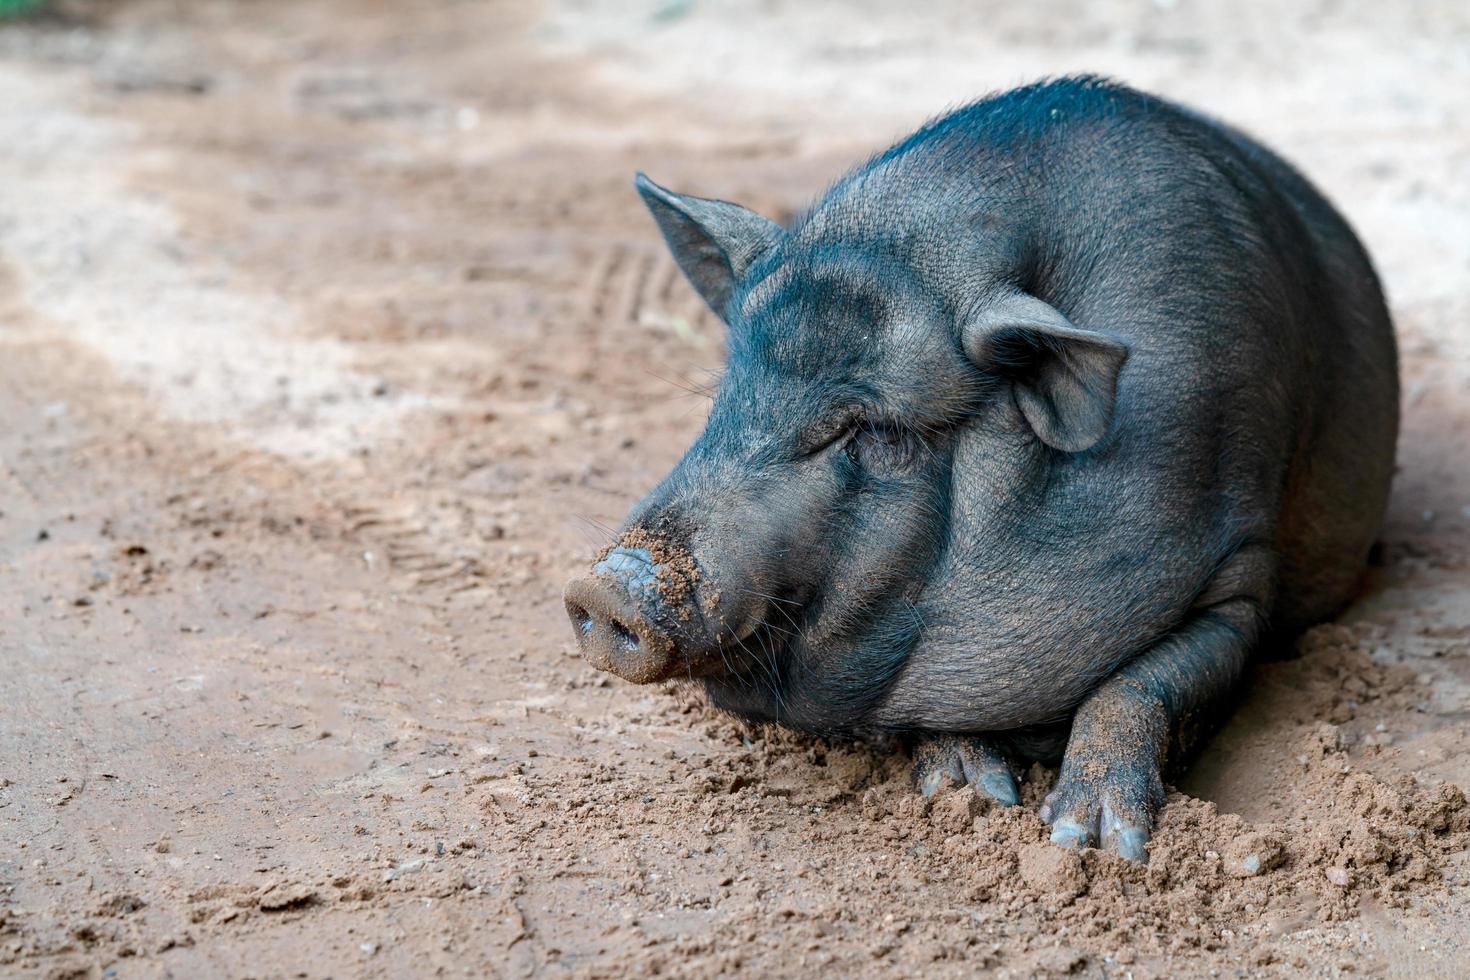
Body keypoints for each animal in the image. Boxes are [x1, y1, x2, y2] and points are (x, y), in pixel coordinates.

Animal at [564, 76, 1399, 863]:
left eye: (873, 427)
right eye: (728, 393)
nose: (610, 586)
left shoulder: (1242, 570)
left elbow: (1146, 682)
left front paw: (1089, 840)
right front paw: (971, 790)